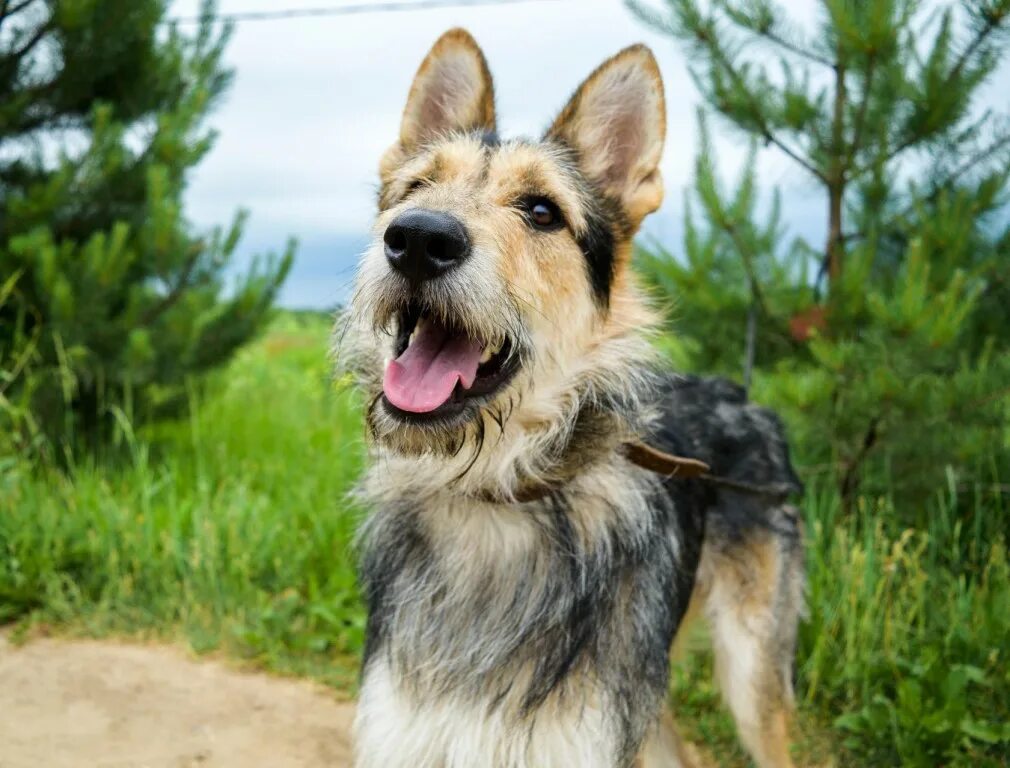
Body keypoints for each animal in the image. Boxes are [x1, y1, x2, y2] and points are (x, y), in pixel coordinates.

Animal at [343, 30, 808, 768]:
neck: (494, 500)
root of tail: (739, 393)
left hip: (751, 673)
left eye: (541, 211)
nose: (416, 237)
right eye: (416, 188)